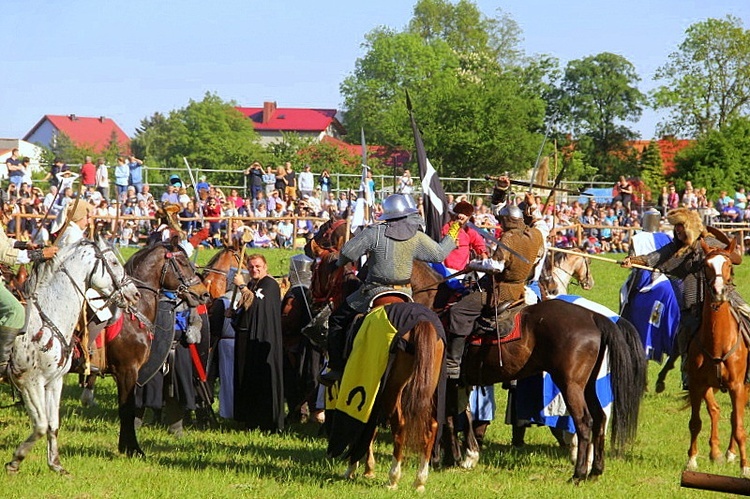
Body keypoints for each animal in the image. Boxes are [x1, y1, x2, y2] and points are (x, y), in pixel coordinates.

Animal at [5, 239, 140, 476]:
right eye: (114, 262)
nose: (134, 294)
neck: (46, 319)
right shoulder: (29, 382)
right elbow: (41, 425)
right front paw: (15, 460)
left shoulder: (54, 382)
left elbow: (52, 425)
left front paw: (55, 464)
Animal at [464, 298, 648, 482]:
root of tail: (592, 316)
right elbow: (465, 415)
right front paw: (467, 455)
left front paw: (467, 456)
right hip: (587, 386)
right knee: (599, 418)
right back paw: (595, 470)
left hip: (570, 386)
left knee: (584, 422)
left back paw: (578, 473)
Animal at [688, 240, 750, 478]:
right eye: (706, 265)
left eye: (729, 265)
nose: (718, 291)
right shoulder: (697, 384)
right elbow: (695, 422)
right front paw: (692, 461)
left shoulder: (737, 386)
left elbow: (739, 426)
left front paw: (745, 468)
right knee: (719, 412)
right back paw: (723, 453)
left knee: (735, 418)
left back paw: (732, 454)